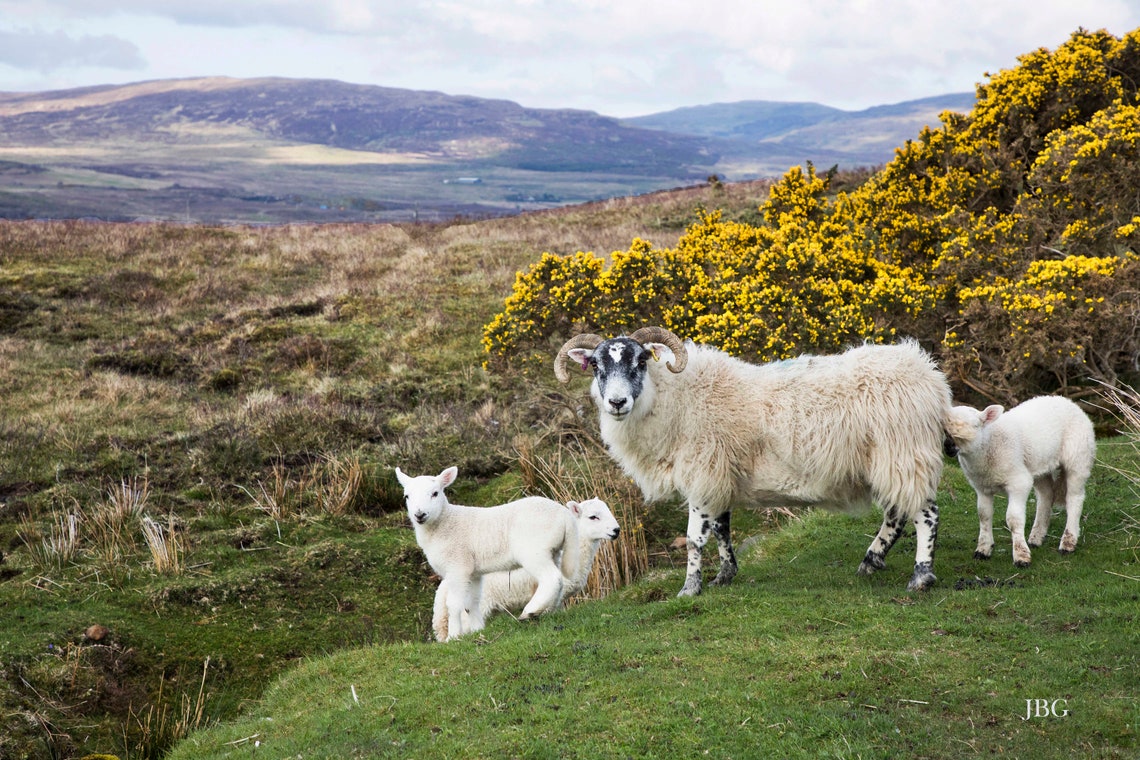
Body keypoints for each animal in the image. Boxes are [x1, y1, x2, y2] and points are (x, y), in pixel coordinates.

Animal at [395, 466, 579, 641]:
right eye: (407, 496)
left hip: (533, 550)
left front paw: (453, 637)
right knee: (559, 581)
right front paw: (477, 630)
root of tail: (565, 515)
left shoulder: (458, 566)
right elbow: (471, 603)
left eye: (435, 493)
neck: (443, 523)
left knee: (551, 578)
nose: (419, 515)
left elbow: (453, 604)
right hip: (553, 551)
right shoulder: (473, 572)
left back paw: (530, 611)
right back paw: (549, 611)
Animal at [555, 327, 952, 596]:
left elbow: (694, 539)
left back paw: (920, 576)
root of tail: (930, 377)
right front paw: (725, 575)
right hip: (892, 459)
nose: (616, 403)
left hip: (903, 452)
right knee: (897, 514)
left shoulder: (703, 473)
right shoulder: (719, 476)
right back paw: (871, 561)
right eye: (595, 366)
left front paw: (690, 588)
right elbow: (721, 528)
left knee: (925, 514)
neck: (675, 399)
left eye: (640, 361)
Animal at [943, 396, 1096, 567]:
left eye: (975, 425)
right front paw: (983, 550)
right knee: (1046, 495)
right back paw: (1036, 537)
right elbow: (983, 515)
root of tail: (1067, 401)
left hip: (1078, 456)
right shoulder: (981, 487)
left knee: (1074, 498)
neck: (987, 446)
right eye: (944, 429)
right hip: (1038, 465)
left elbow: (1013, 519)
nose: (948, 446)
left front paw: (1021, 556)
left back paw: (1068, 542)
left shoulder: (1018, 482)